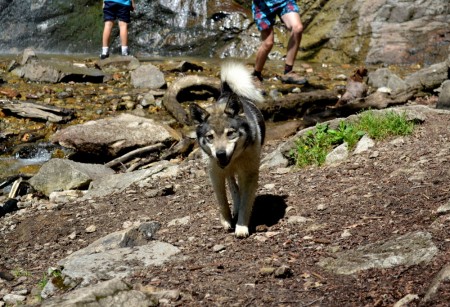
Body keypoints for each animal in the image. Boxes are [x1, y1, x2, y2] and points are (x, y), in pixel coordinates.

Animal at [189, 62, 266, 238]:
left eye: (230, 133)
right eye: (210, 137)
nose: (220, 154)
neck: (235, 159)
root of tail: (227, 93)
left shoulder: (250, 174)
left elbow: (246, 202)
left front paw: (241, 227)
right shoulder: (215, 175)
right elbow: (222, 200)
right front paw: (226, 221)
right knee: (232, 185)